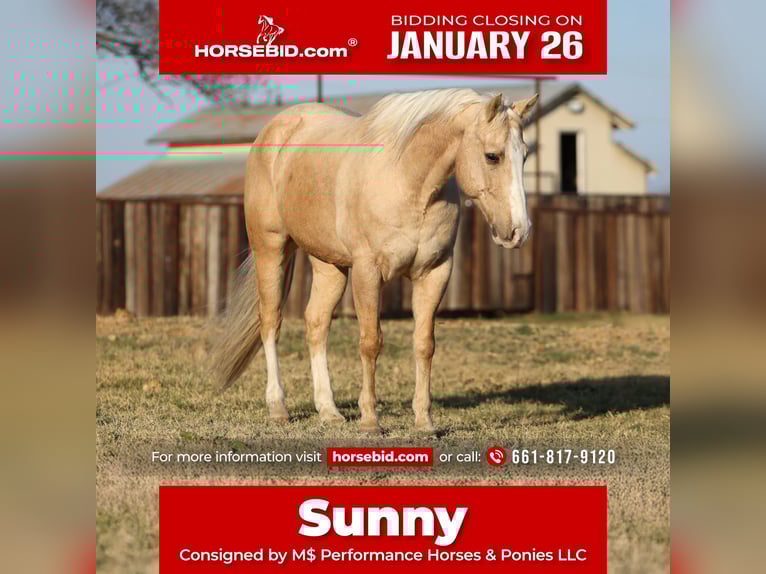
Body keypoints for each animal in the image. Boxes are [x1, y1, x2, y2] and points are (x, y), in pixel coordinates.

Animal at [211, 88, 538, 433]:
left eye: (525, 155)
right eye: (493, 156)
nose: (518, 231)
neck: (408, 181)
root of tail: (275, 131)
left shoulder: (434, 273)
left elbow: (425, 344)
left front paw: (424, 421)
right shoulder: (368, 272)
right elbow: (371, 342)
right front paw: (370, 420)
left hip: (329, 265)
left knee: (316, 323)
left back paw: (328, 411)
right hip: (271, 249)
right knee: (271, 323)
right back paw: (278, 408)